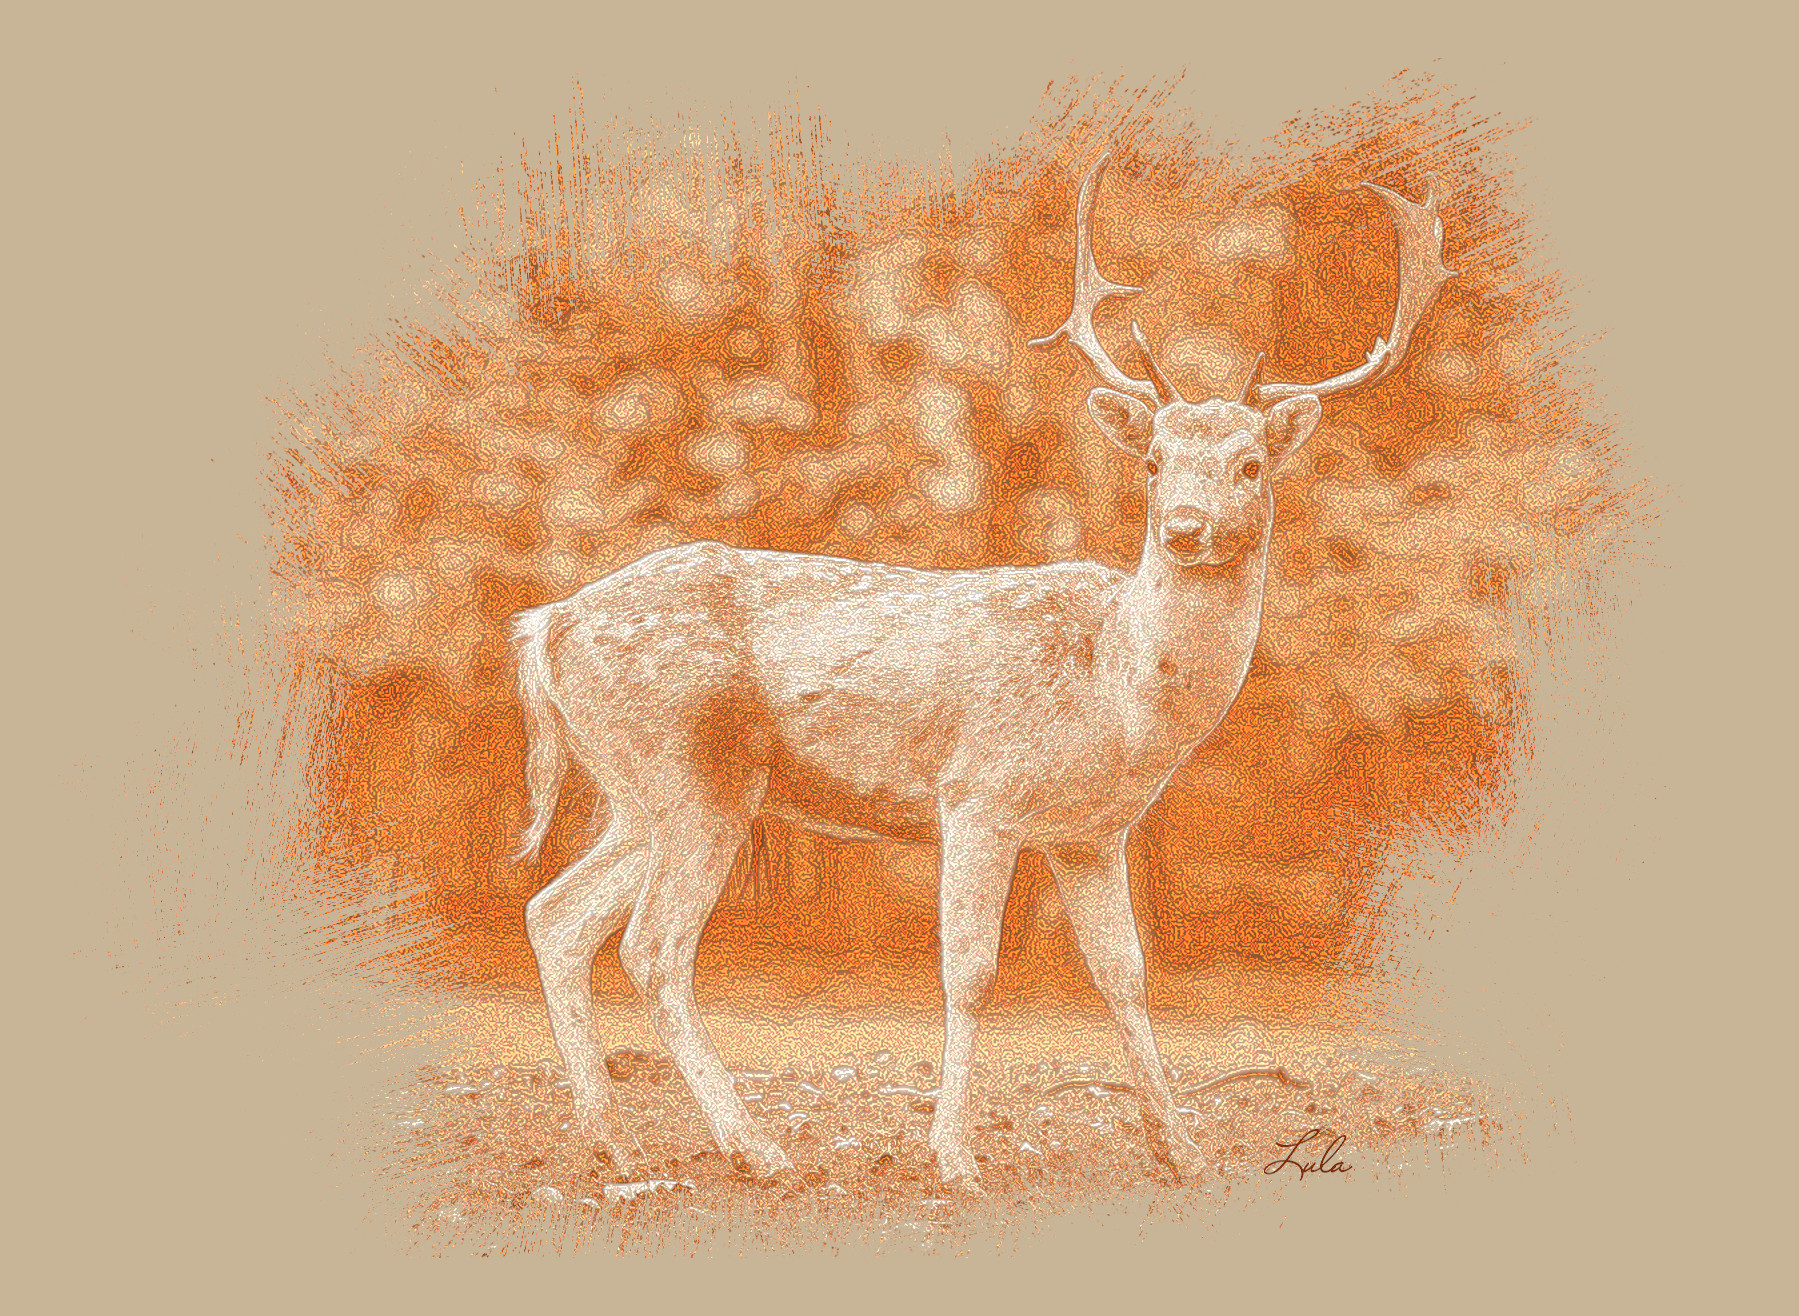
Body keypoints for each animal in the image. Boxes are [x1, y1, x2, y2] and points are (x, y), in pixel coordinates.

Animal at [508, 154, 1454, 1191]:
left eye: (1249, 464)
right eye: (1154, 460)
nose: (1183, 528)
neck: (1117, 696)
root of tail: (543, 625)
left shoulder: (1092, 833)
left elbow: (1124, 977)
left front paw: (1181, 1148)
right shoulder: (979, 795)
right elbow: (970, 972)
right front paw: (953, 1155)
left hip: (637, 791)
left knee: (556, 915)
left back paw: (612, 1138)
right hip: (694, 775)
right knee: (652, 946)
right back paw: (753, 1147)